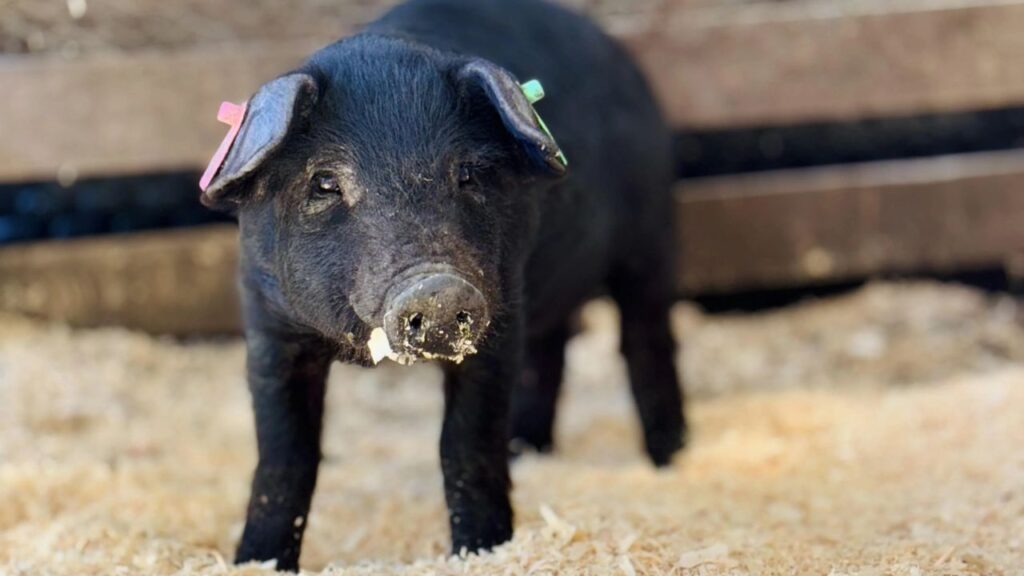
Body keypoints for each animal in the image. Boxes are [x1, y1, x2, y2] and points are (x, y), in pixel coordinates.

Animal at [199, 0, 685, 570]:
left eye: (468, 173)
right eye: (324, 182)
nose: (437, 289)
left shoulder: (500, 316)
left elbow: (465, 445)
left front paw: (482, 552)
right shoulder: (268, 324)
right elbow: (284, 458)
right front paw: (255, 561)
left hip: (650, 239)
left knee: (647, 340)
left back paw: (668, 461)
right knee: (553, 351)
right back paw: (531, 450)